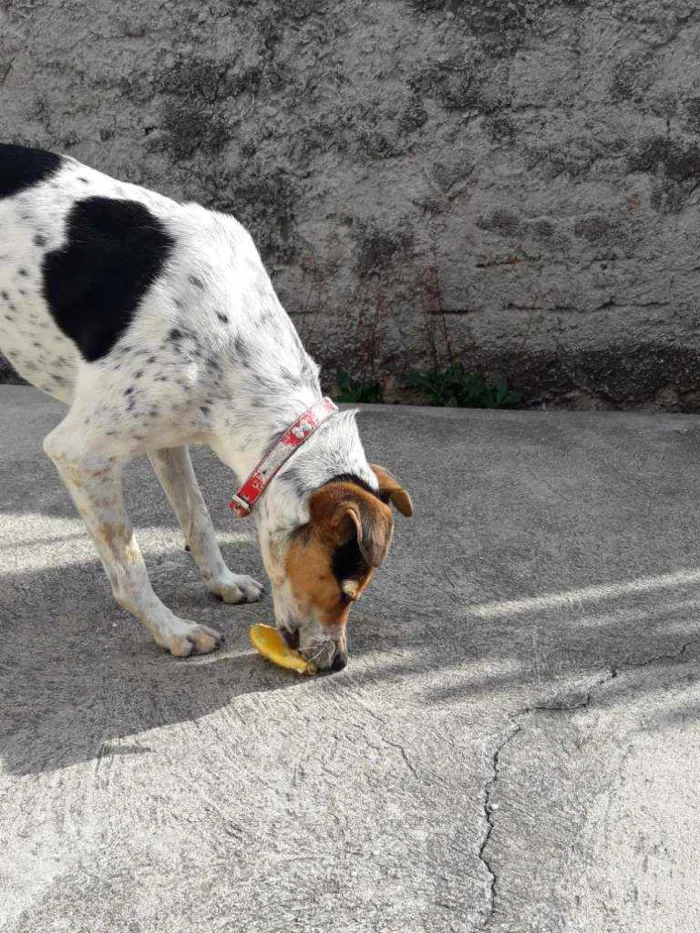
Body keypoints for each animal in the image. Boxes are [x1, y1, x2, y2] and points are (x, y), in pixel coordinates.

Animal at [0, 144, 412, 668]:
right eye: (346, 590)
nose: (337, 663)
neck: (231, 337)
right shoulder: (81, 453)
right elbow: (129, 566)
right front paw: (172, 631)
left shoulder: (166, 436)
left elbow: (196, 515)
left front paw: (221, 582)